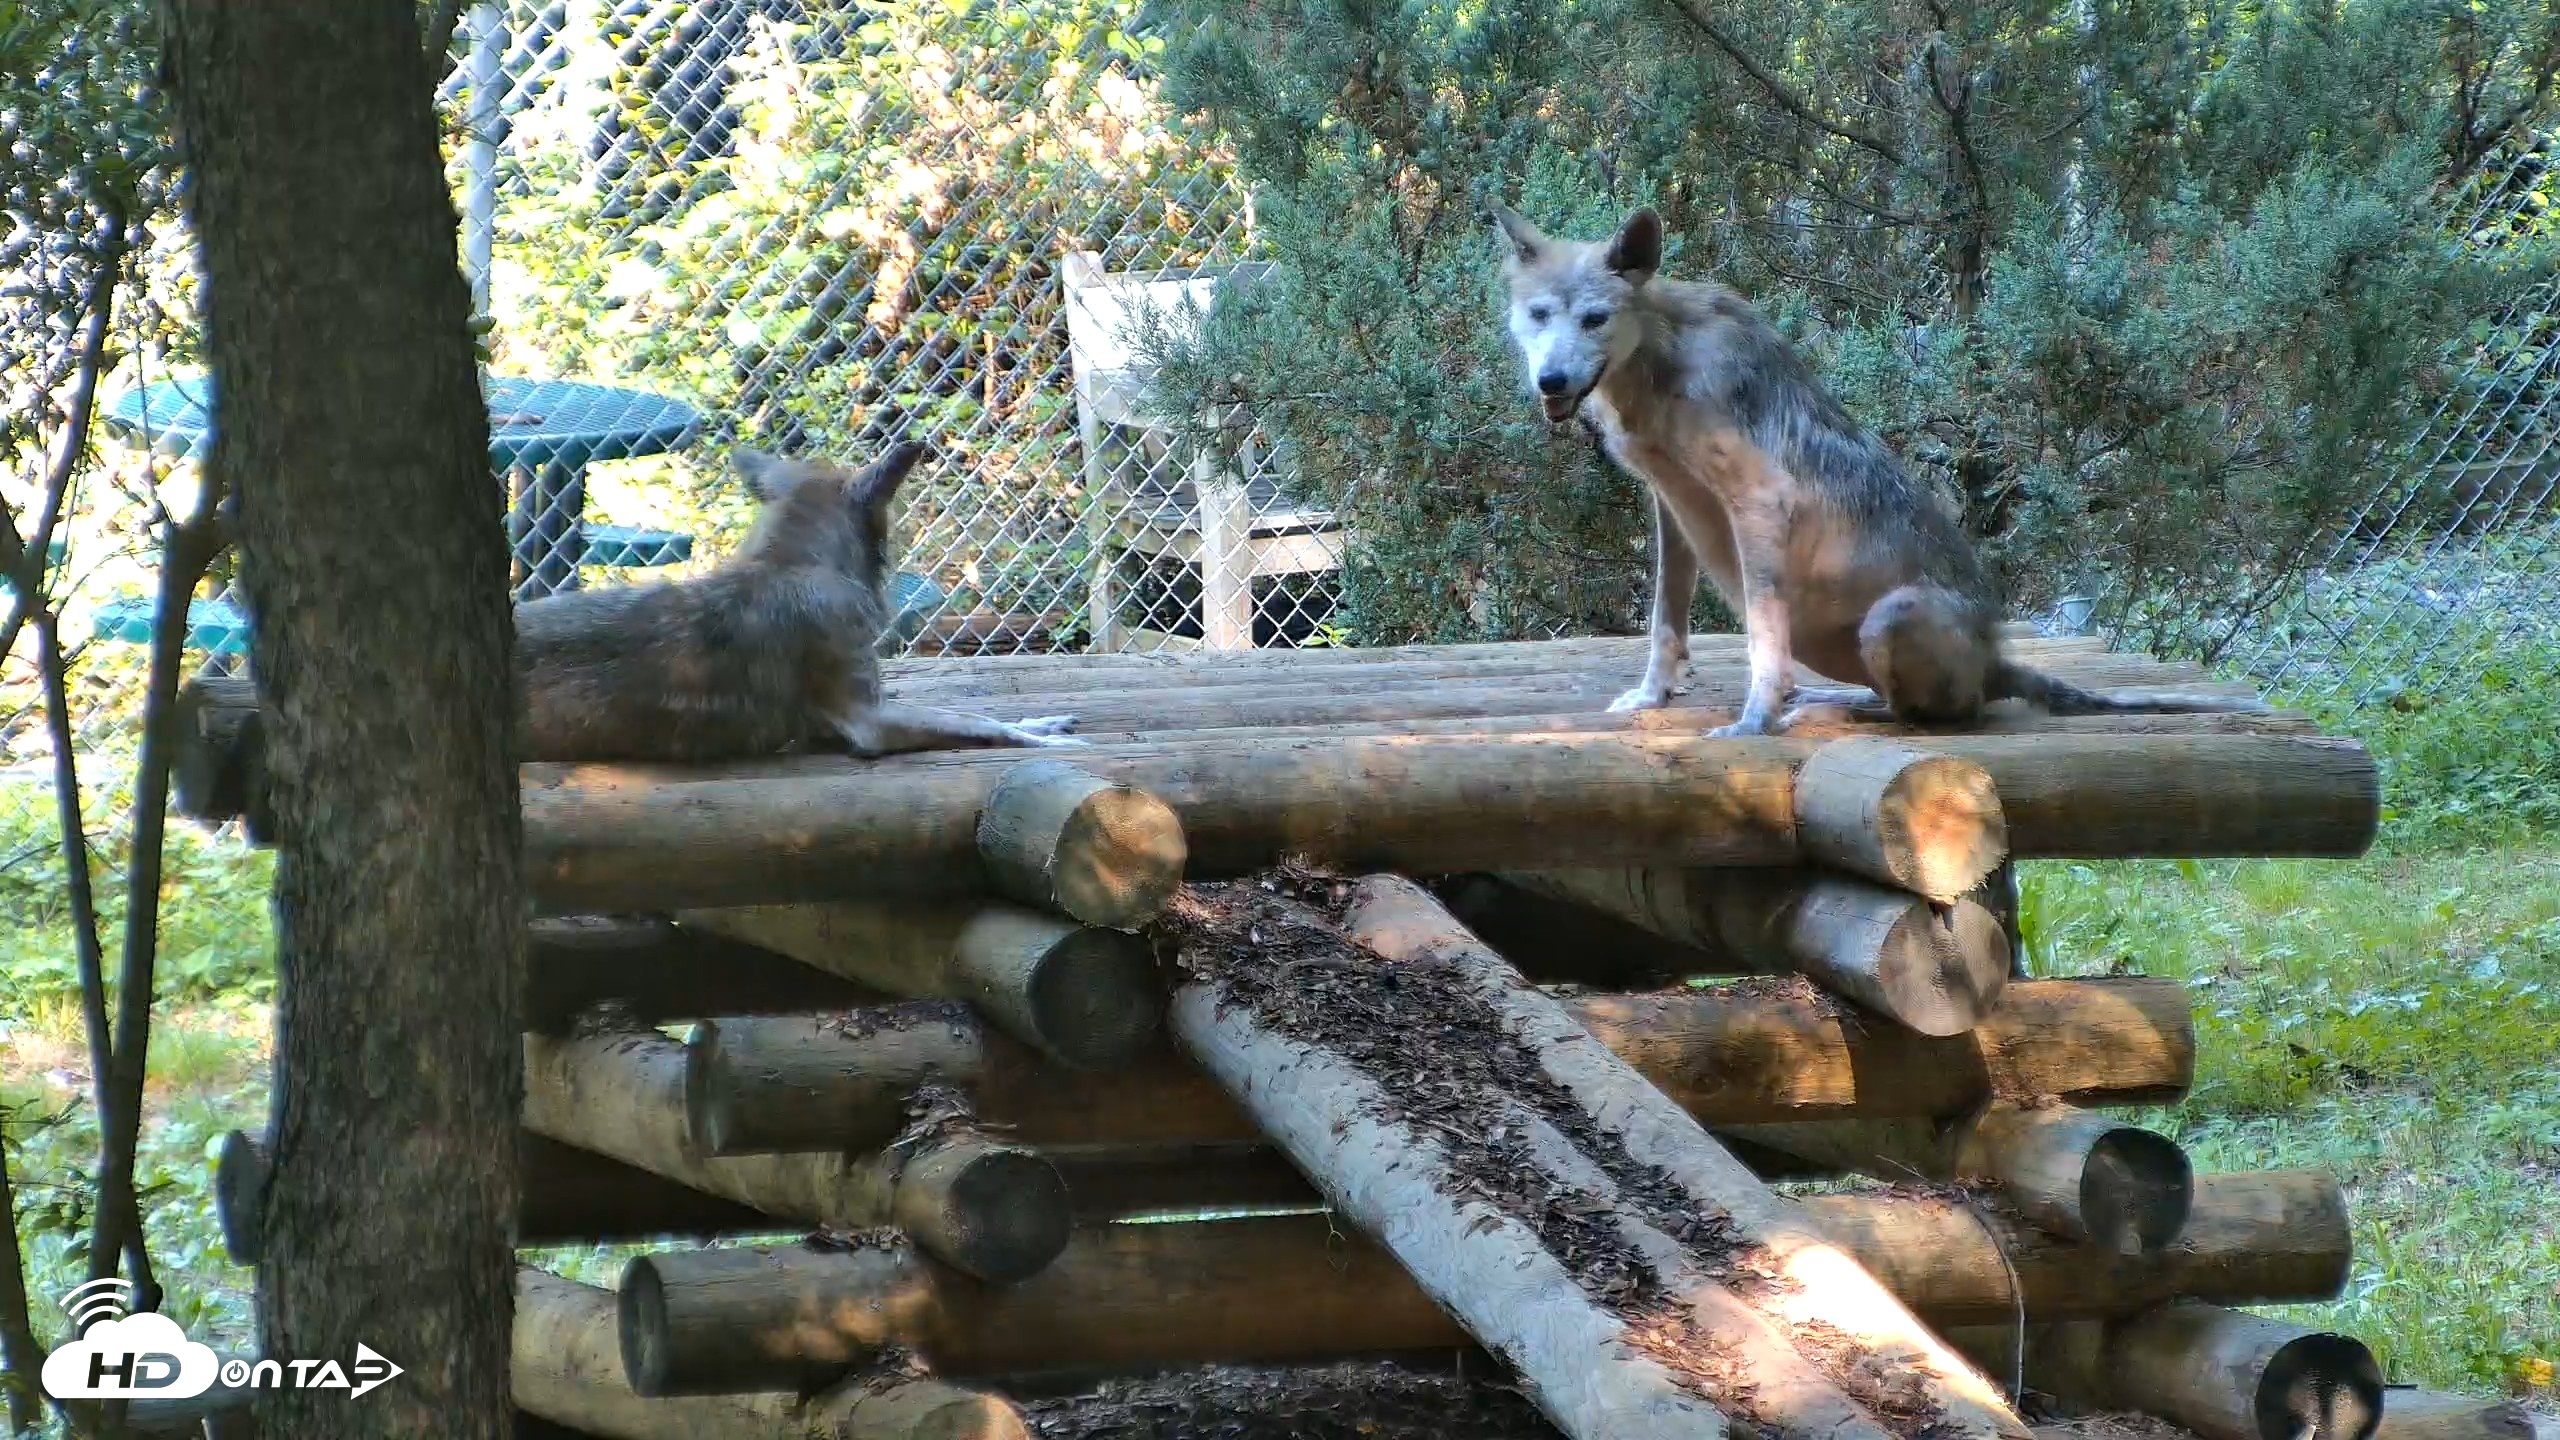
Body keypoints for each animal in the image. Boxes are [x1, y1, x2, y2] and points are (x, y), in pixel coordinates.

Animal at [514, 440, 1082, 761]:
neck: (793, 562)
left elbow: (978, 717)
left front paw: (1043, 724)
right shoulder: (870, 721)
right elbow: (981, 724)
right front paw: (1048, 741)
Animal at [1490, 203, 2267, 735]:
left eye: (1594, 318)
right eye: (1539, 316)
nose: (1551, 381)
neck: (1658, 366)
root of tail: (1995, 657)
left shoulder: (1760, 503)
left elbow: (1760, 646)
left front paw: (1752, 725)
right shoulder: (1674, 506)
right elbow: (1664, 624)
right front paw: (1653, 697)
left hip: (1888, 619)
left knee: (1940, 716)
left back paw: (1838, 711)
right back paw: (1834, 699)